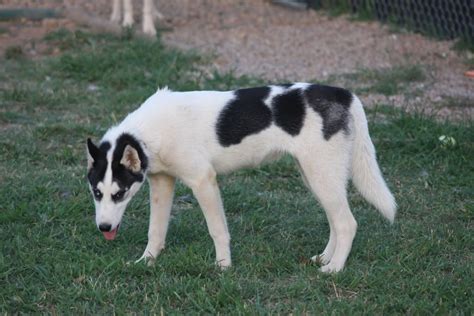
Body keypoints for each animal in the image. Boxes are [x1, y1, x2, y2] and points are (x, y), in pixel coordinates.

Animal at [86, 82, 396, 272]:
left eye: (119, 193)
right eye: (97, 193)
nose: (103, 228)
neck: (148, 132)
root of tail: (344, 94)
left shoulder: (203, 181)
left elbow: (217, 230)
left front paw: (223, 266)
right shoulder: (161, 183)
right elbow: (156, 230)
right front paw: (147, 261)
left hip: (322, 176)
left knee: (347, 223)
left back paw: (334, 268)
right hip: (316, 177)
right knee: (336, 222)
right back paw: (324, 258)